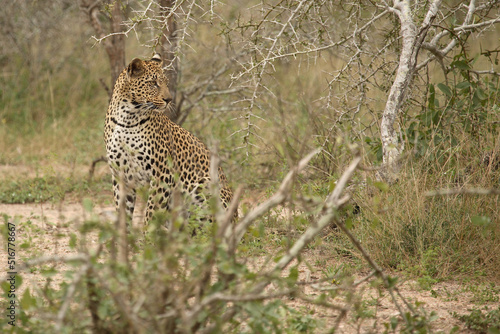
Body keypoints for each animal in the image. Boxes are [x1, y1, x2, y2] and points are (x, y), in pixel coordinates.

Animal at [104, 54, 236, 227]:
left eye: (166, 83)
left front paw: (147, 234)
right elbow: (123, 212)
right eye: (153, 83)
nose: (169, 99)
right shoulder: (121, 175)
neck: (127, 117)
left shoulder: (162, 174)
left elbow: (151, 214)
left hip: (204, 184)